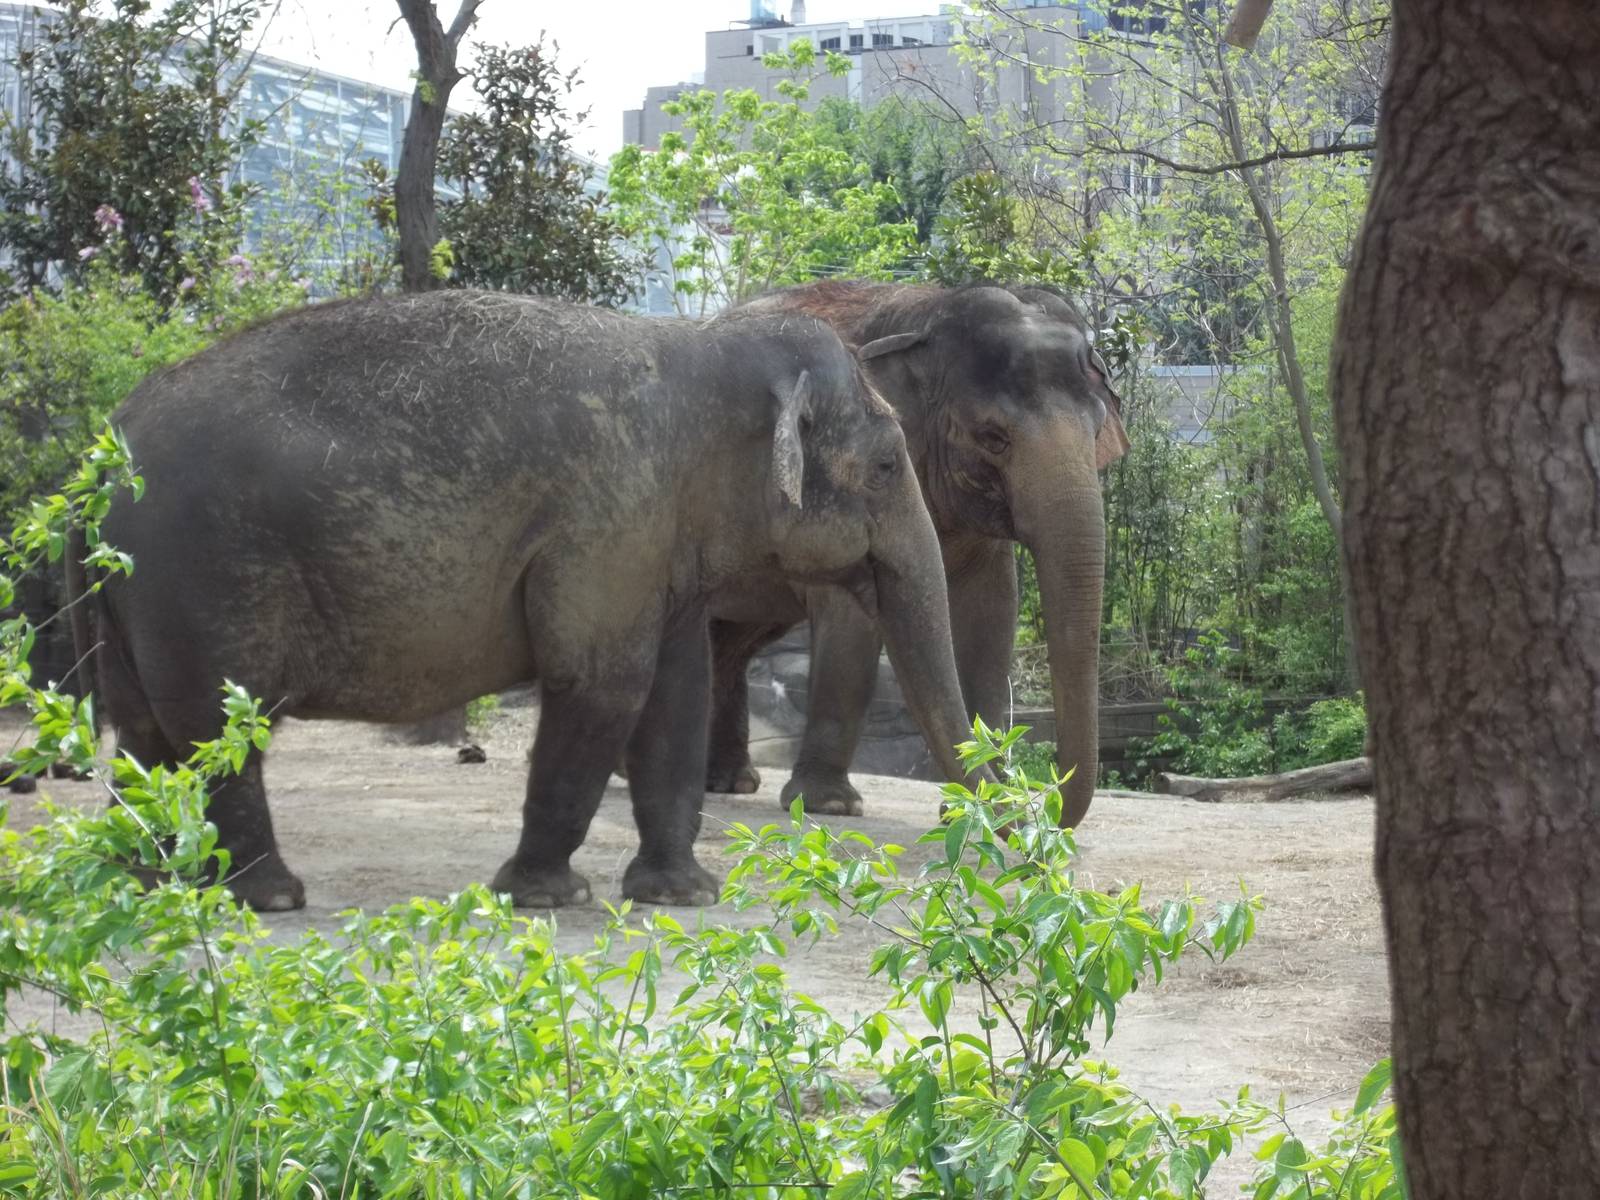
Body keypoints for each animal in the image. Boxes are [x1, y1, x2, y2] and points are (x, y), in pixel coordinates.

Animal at [75, 289, 988, 912]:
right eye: (885, 468)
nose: (996, 833)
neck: (698, 351)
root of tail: (97, 464)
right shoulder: (610, 517)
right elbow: (602, 685)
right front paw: (548, 895)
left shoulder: (655, 538)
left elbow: (676, 695)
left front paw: (684, 894)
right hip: (203, 574)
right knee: (216, 727)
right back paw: (268, 896)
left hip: (133, 590)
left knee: (144, 729)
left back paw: (145, 879)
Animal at [703, 281, 1129, 828]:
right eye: (994, 437)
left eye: (1096, 431)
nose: (1028, 808)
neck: (926, 312)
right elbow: (850, 627)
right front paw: (831, 804)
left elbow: (991, 619)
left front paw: (964, 811)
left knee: (732, 638)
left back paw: (729, 782)